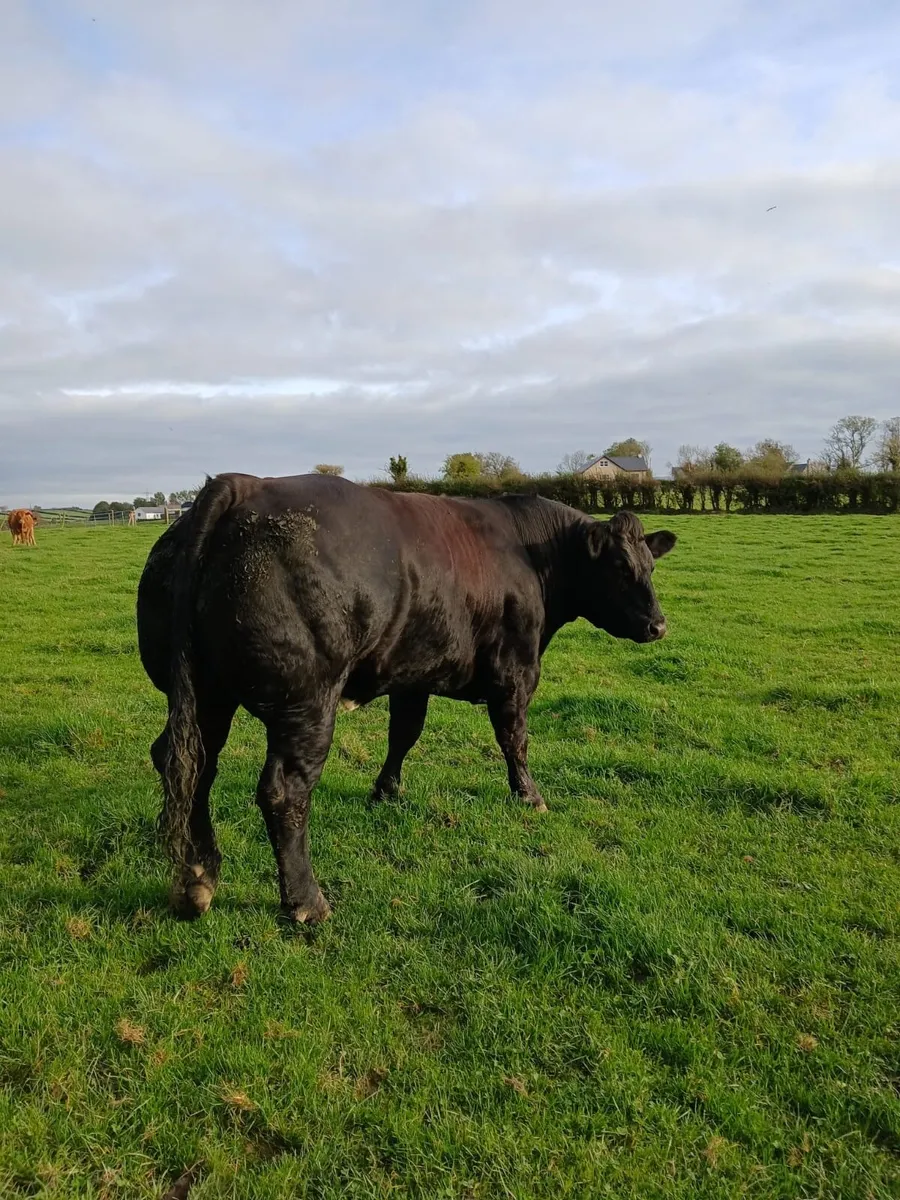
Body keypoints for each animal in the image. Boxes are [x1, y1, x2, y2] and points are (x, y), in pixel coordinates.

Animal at [137, 473, 676, 924]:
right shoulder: (516, 669)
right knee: (282, 791)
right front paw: (530, 796)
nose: (658, 626)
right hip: (306, 703)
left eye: (651, 565)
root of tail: (242, 485)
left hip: (206, 694)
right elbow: (514, 738)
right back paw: (307, 903)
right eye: (620, 567)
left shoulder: (414, 672)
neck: (529, 554)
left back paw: (198, 878)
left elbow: (404, 734)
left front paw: (386, 791)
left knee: (188, 764)